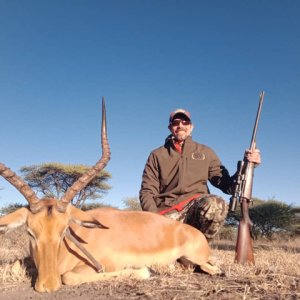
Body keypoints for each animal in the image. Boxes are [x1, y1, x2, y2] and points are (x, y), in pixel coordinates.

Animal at [0, 99, 220, 292]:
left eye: (63, 231)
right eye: (30, 232)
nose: (48, 286)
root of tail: (190, 231)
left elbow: (69, 276)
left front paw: (145, 271)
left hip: (198, 258)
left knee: (211, 267)